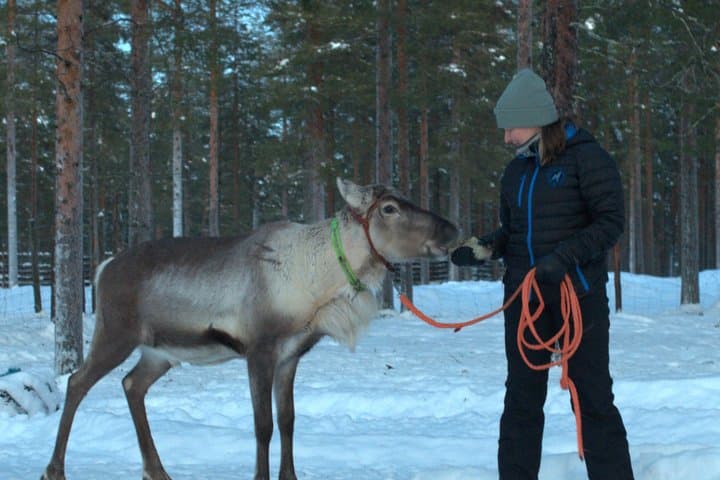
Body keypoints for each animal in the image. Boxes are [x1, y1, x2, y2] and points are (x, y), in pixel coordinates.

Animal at [41, 178, 459, 480]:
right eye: (389, 208)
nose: (451, 229)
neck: (319, 282)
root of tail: (102, 268)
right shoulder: (259, 349)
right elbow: (263, 425)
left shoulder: (290, 355)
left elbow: (288, 421)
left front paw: (289, 476)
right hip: (116, 333)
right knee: (77, 381)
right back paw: (55, 470)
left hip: (160, 352)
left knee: (131, 385)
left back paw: (157, 471)